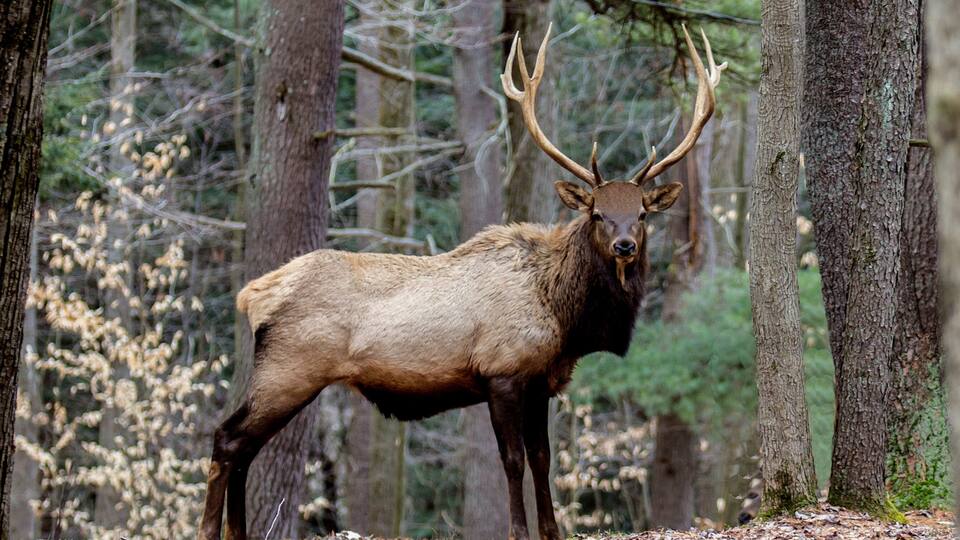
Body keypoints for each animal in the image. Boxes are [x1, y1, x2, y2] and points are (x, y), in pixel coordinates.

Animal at [198, 23, 724, 540]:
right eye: (597, 213)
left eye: (641, 214)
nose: (625, 246)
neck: (564, 317)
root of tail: (252, 294)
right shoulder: (502, 371)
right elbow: (512, 461)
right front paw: (518, 531)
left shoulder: (541, 381)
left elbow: (543, 460)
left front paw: (552, 531)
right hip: (290, 368)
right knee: (227, 439)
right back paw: (210, 530)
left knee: (243, 448)